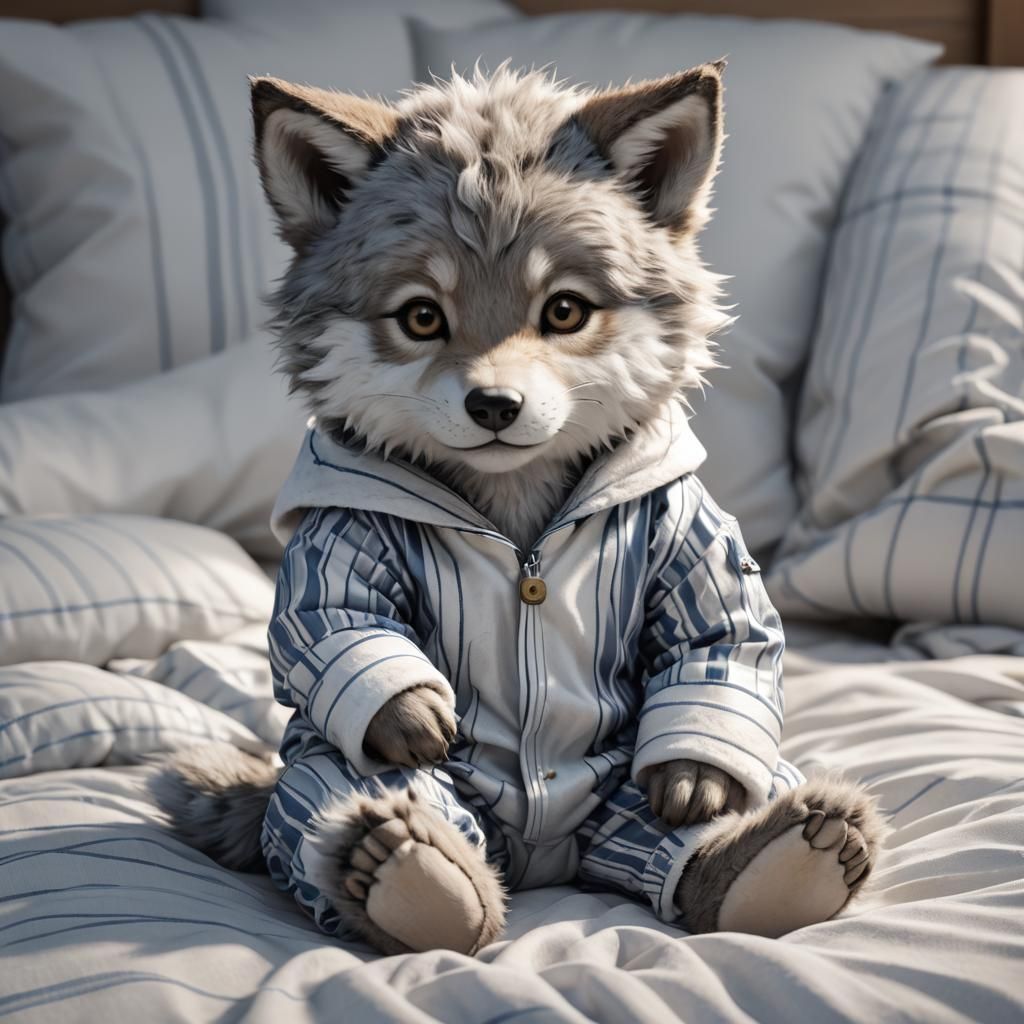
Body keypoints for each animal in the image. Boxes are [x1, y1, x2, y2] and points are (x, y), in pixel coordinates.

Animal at [155, 63, 885, 957]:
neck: (519, 529)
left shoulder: (690, 540)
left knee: (688, 824)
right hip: (342, 778)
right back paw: (406, 872)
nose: (494, 405)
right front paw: (409, 710)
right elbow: (330, 619)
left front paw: (696, 777)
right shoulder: (339, 542)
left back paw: (776, 858)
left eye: (563, 310)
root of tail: (546, 860)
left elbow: (722, 634)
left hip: (654, 786)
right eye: (422, 316)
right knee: (329, 803)